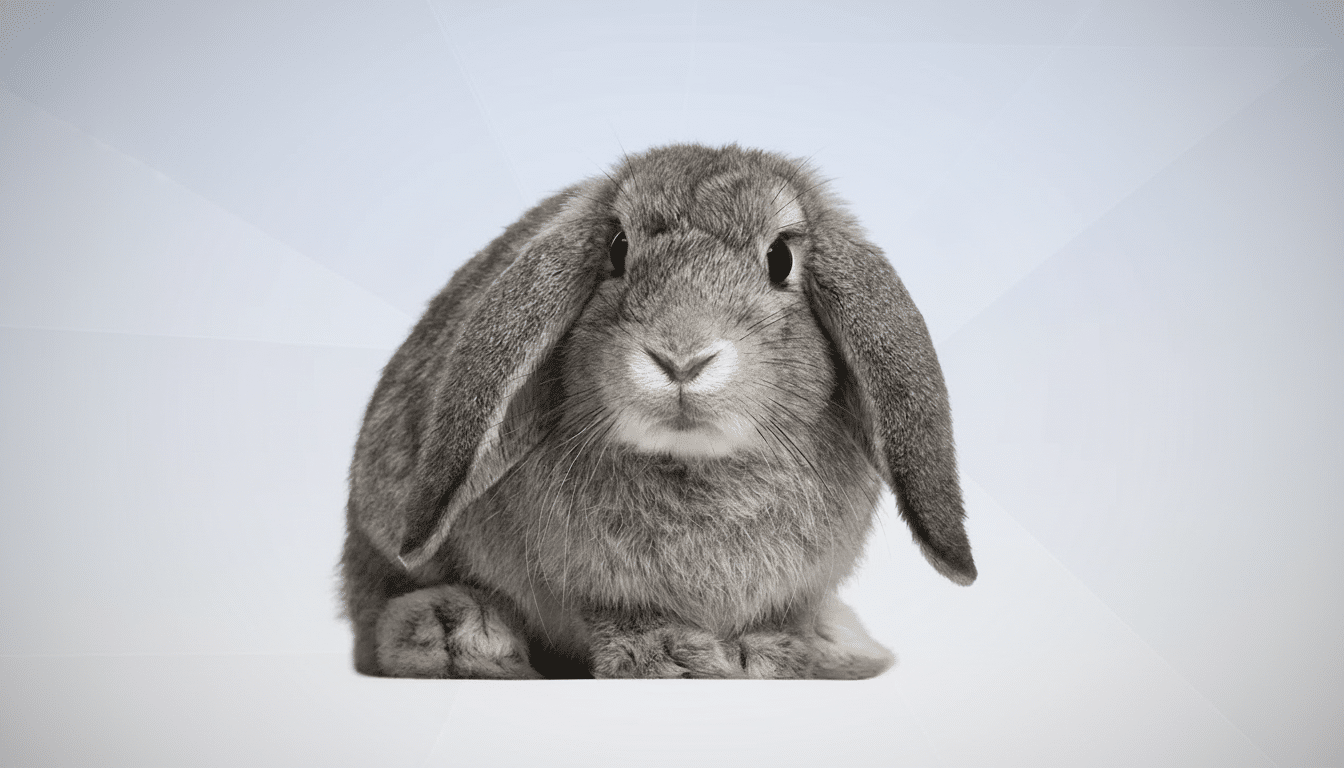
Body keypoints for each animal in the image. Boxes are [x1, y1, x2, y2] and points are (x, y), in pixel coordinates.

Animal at [340, 143, 975, 680]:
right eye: (618, 249)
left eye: (781, 258)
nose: (681, 356)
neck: (695, 463)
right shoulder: (595, 589)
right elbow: (619, 615)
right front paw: (673, 657)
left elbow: (779, 620)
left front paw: (769, 655)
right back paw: (461, 638)